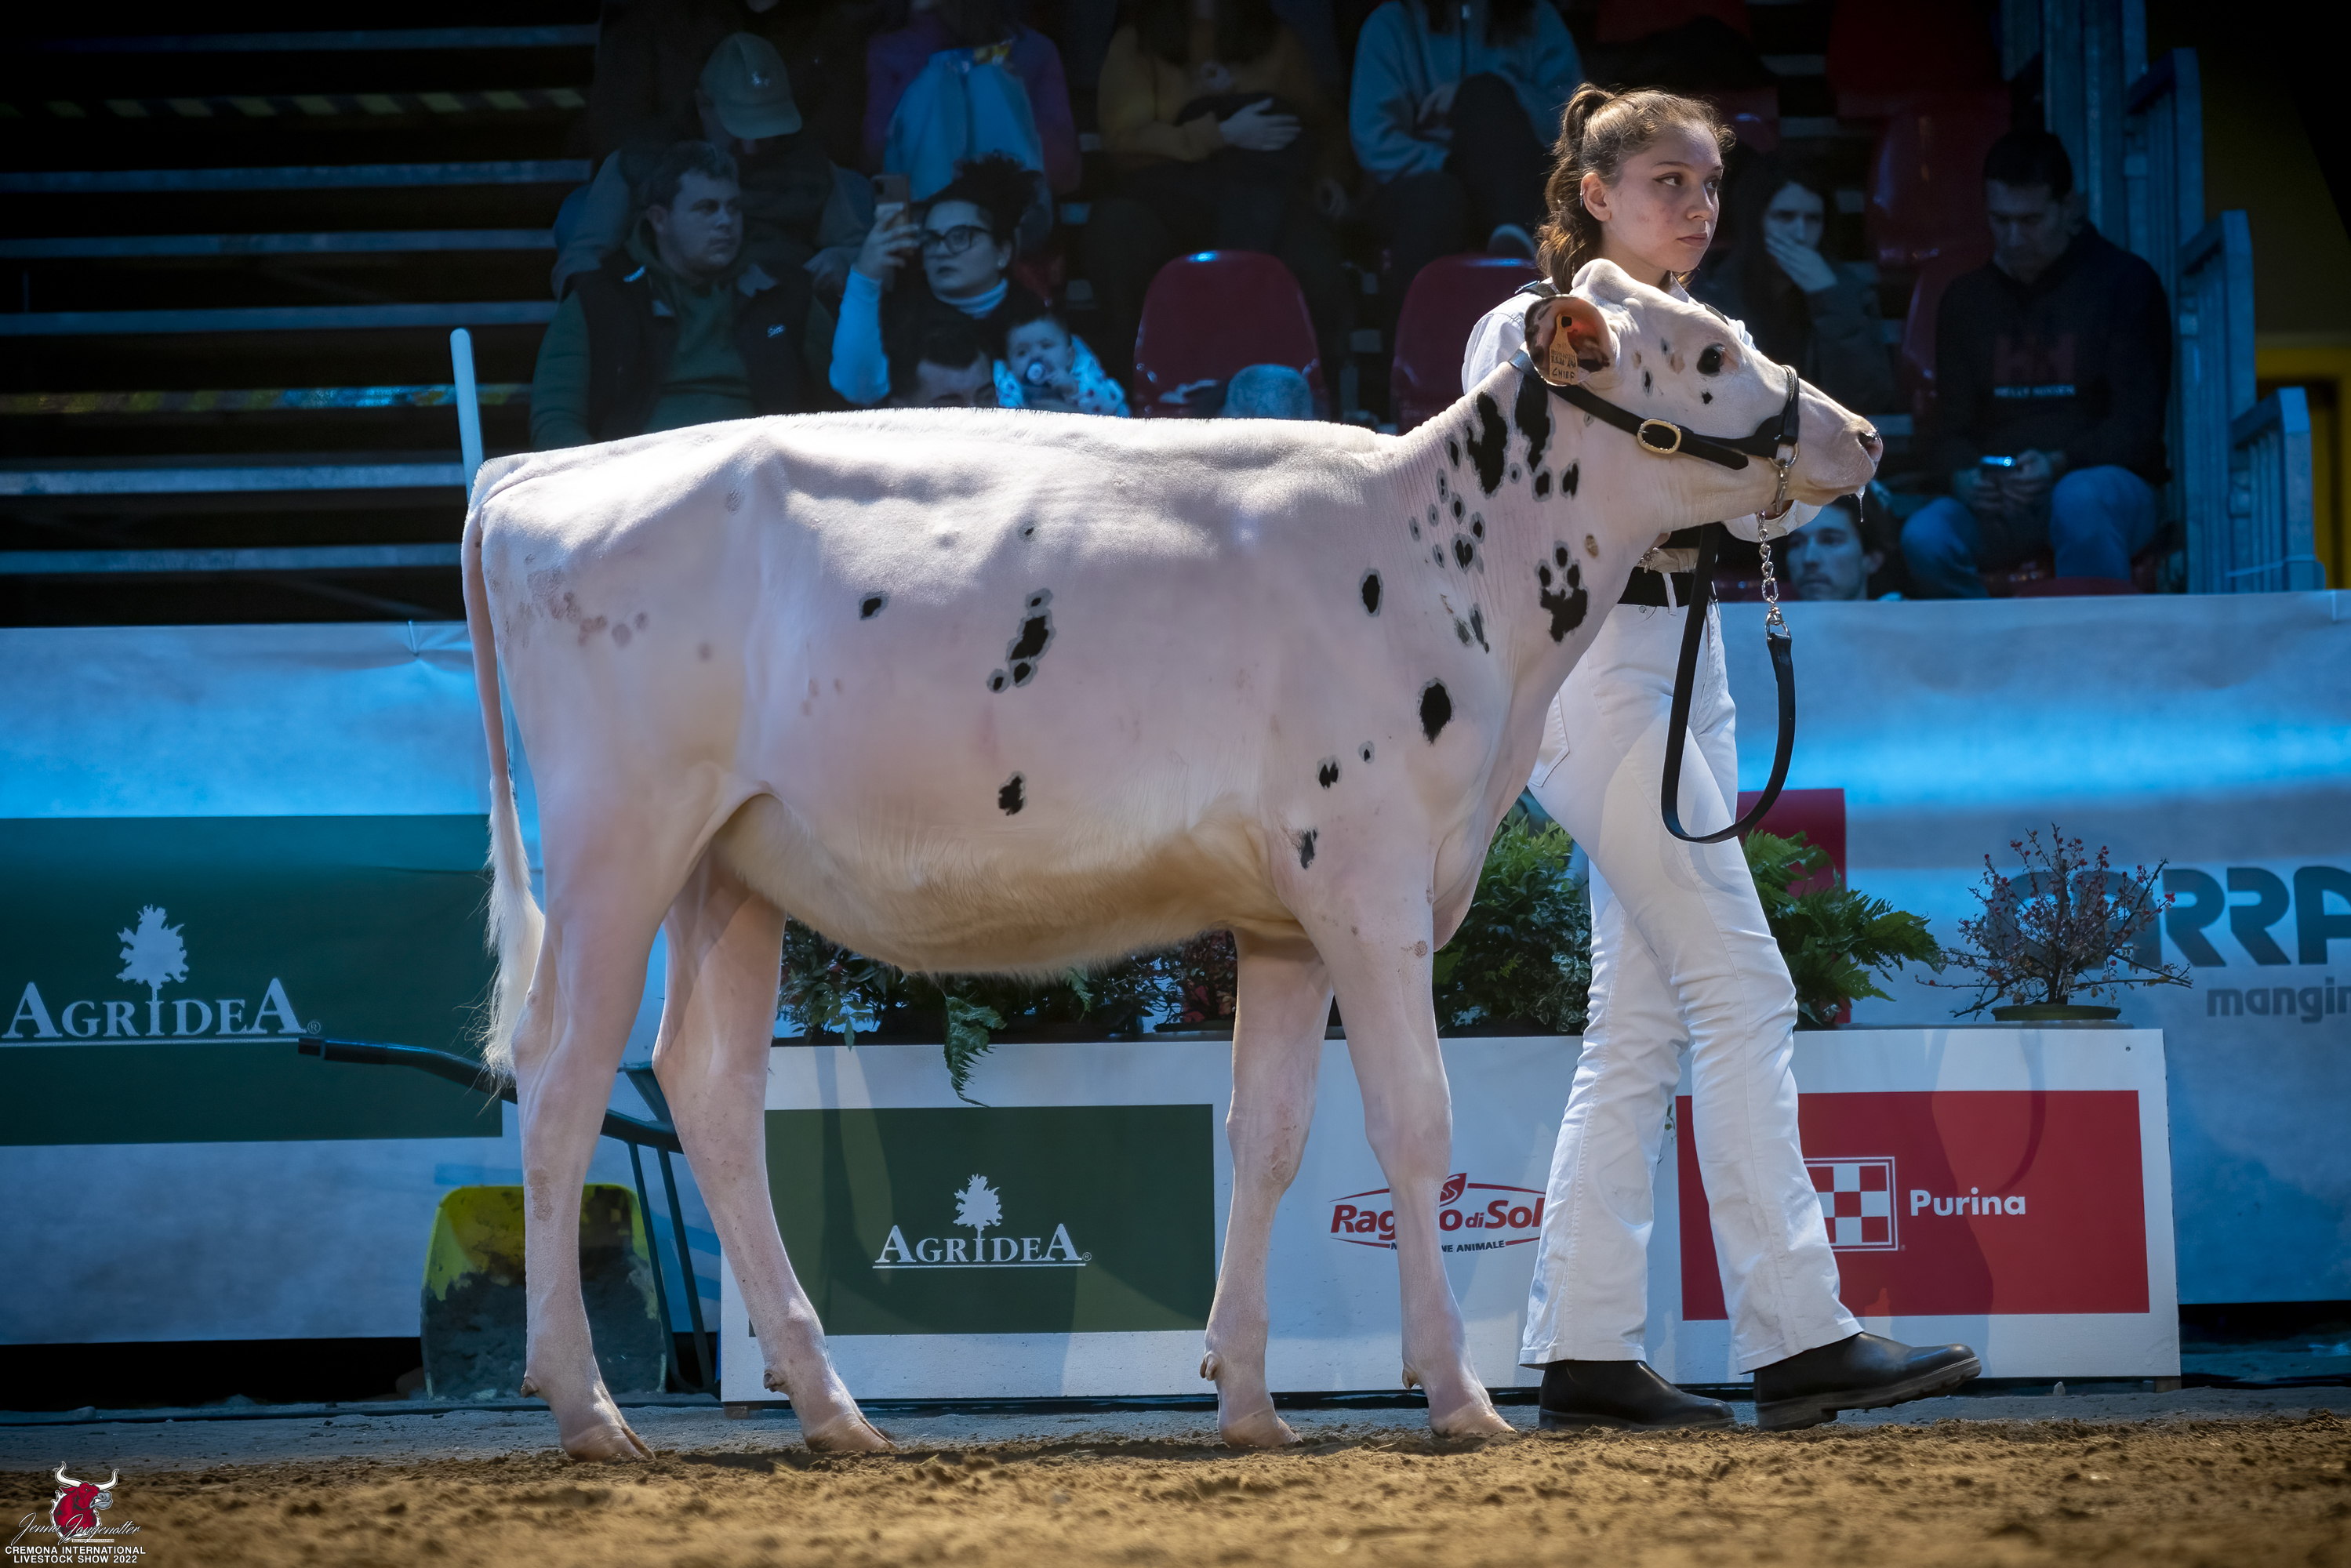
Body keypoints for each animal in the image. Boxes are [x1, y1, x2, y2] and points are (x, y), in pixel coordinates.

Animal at [459, 260, 1880, 1460]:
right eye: (1708, 353)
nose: (1861, 436)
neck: (1446, 561)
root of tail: (536, 475)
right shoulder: (1368, 880)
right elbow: (1414, 1123)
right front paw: (1459, 1395)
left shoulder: (1288, 916)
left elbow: (1268, 1133)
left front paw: (1247, 1399)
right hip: (616, 839)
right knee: (563, 1079)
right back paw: (588, 1408)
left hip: (730, 868)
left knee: (707, 1092)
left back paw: (832, 1409)